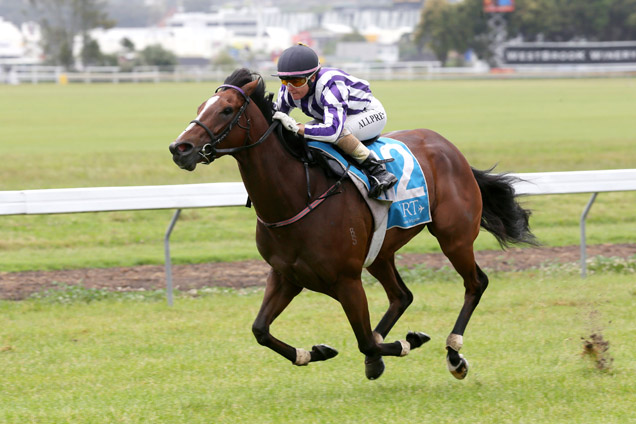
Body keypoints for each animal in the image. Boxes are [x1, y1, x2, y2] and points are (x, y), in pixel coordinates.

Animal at [169, 68, 536, 380]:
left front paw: (409, 342)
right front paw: (314, 352)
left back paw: (454, 354)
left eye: (227, 110)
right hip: (381, 252)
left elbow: (364, 340)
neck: (297, 196)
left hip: (454, 237)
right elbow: (260, 330)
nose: (179, 148)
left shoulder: (347, 280)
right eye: (201, 106)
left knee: (475, 284)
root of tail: (450, 149)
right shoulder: (286, 274)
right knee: (402, 296)